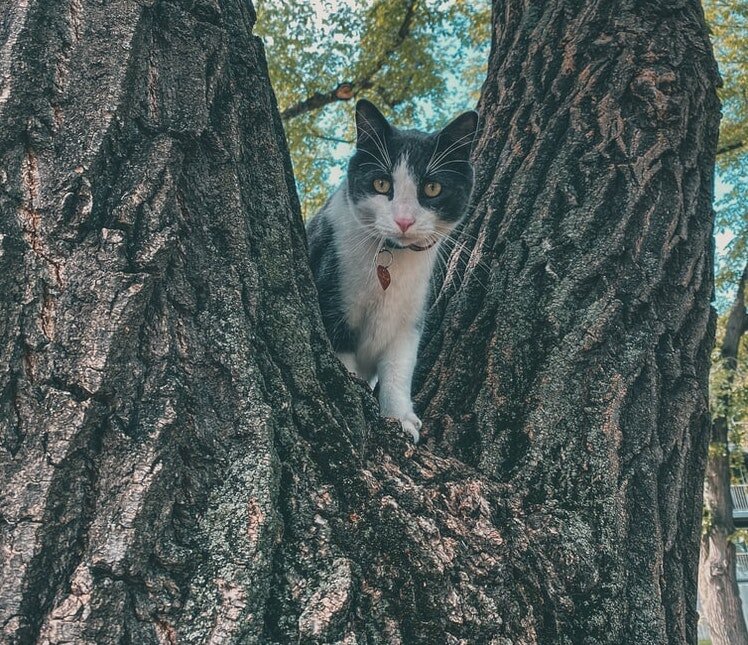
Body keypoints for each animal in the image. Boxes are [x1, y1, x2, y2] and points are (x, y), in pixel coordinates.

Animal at [306, 100, 476, 442]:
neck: (392, 262)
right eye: (381, 183)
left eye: (433, 187)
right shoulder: (333, 300)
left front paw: (400, 418)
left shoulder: (409, 318)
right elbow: (344, 360)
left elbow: (399, 368)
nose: (404, 220)